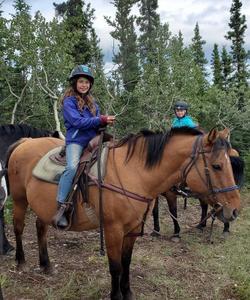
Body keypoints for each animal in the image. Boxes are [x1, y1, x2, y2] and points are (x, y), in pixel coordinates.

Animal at [6, 127, 240, 300]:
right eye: (217, 166)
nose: (235, 209)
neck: (134, 174)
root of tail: (25, 142)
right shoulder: (113, 230)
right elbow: (115, 266)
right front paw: (115, 295)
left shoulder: (132, 229)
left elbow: (126, 262)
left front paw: (127, 292)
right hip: (19, 200)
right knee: (19, 227)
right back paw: (21, 261)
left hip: (43, 206)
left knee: (40, 228)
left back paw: (46, 265)